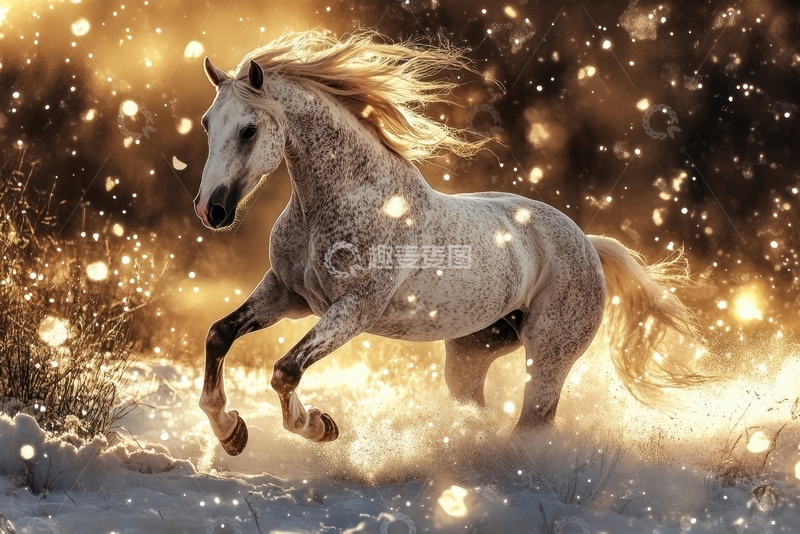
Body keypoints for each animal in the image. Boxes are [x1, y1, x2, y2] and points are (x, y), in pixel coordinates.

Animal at [193, 30, 702, 456]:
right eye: (206, 123)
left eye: (249, 130)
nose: (210, 210)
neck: (339, 202)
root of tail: (587, 243)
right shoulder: (287, 294)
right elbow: (219, 335)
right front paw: (231, 432)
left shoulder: (355, 309)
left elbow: (286, 370)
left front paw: (319, 425)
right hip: (470, 354)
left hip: (548, 358)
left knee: (533, 425)